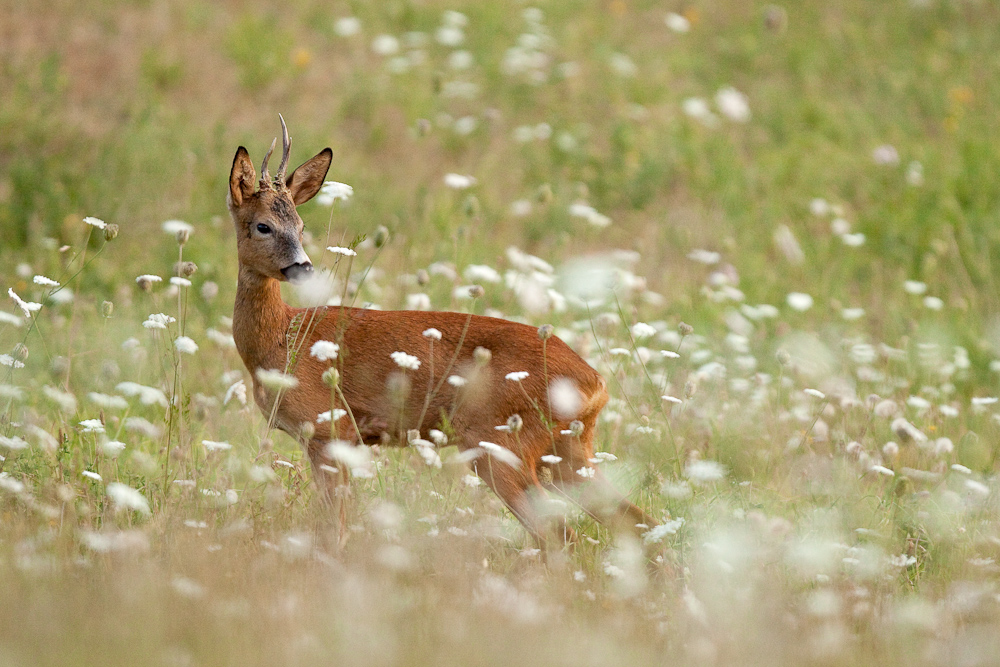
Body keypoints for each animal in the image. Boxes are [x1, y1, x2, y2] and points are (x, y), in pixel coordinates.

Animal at [227, 116, 656, 548]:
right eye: (263, 225)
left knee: (559, 534)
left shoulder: (330, 429)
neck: (281, 339)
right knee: (638, 523)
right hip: (569, 450)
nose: (303, 267)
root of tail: (595, 383)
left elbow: (335, 529)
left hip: (501, 442)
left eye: (300, 226)